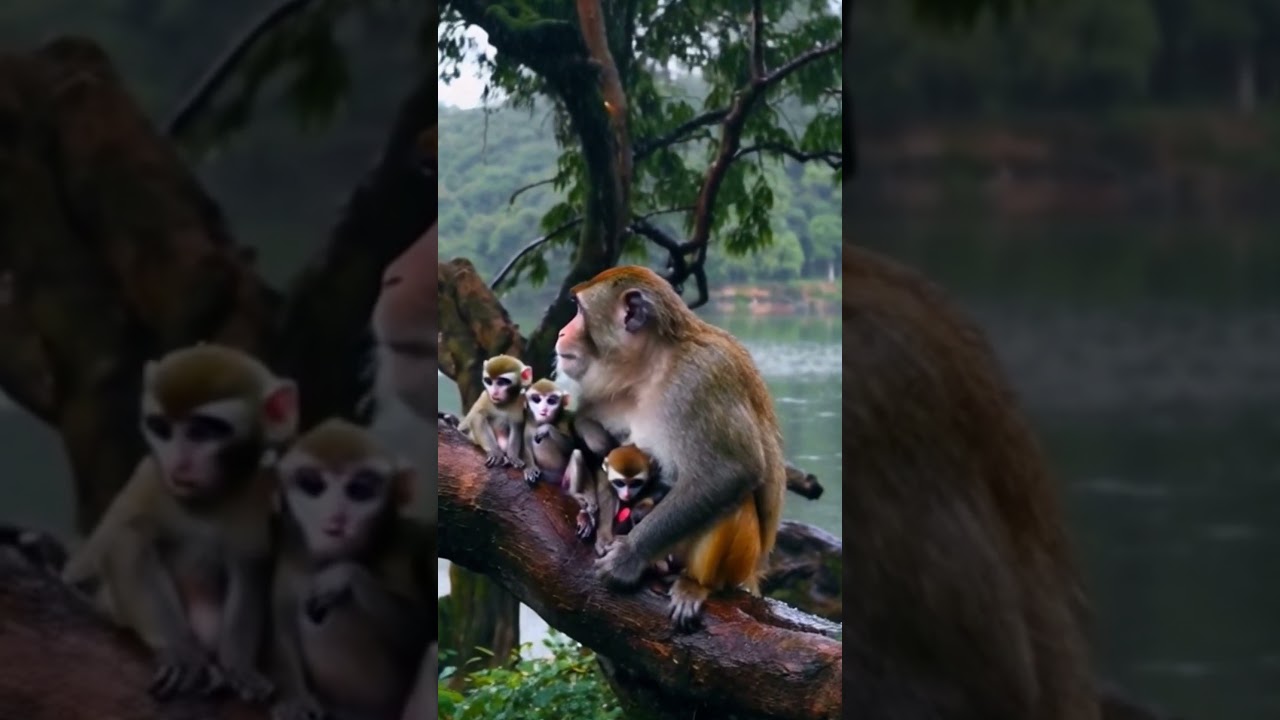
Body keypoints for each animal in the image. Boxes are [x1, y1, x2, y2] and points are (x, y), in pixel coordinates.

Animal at [61, 343, 295, 702]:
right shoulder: (147, 480)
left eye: (202, 431)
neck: (210, 500)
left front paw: (238, 664)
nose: (179, 462)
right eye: (162, 429)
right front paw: (181, 652)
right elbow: (118, 546)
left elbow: (250, 564)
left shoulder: (259, 493)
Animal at [268, 418, 435, 720]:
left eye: (360, 489)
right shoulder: (289, 552)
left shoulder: (406, 546)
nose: (336, 517)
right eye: (312, 485)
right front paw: (294, 699)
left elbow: (420, 629)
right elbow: (281, 626)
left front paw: (343, 576)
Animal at [553, 265, 785, 631]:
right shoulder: (608, 392)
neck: (651, 369)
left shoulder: (701, 378)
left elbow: (733, 470)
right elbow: (597, 444)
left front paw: (629, 557)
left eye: (577, 309)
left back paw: (696, 584)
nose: (561, 332)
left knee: (734, 499)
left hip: (742, 560)